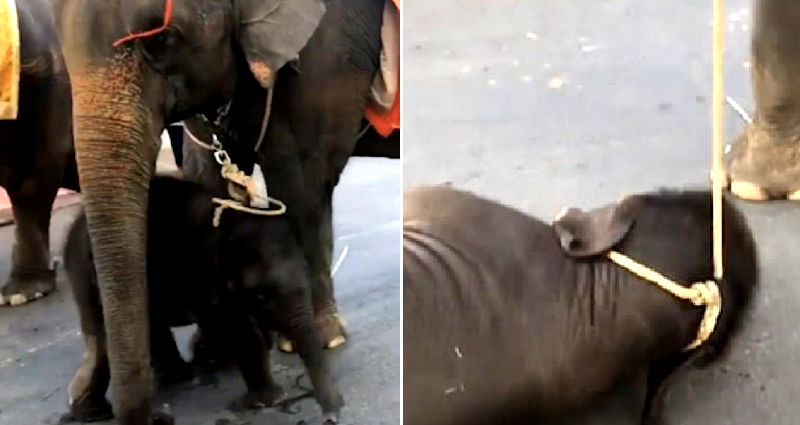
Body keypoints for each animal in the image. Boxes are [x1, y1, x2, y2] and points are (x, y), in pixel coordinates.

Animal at [59, 176, 340, 424]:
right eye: (261, 295)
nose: (331, 416)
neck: (228, 223)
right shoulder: (203, 276)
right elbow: (237, 328)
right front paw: (268, 399)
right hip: (84, 274)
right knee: (103, 334)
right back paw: (94, 412)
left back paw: (179, 376)